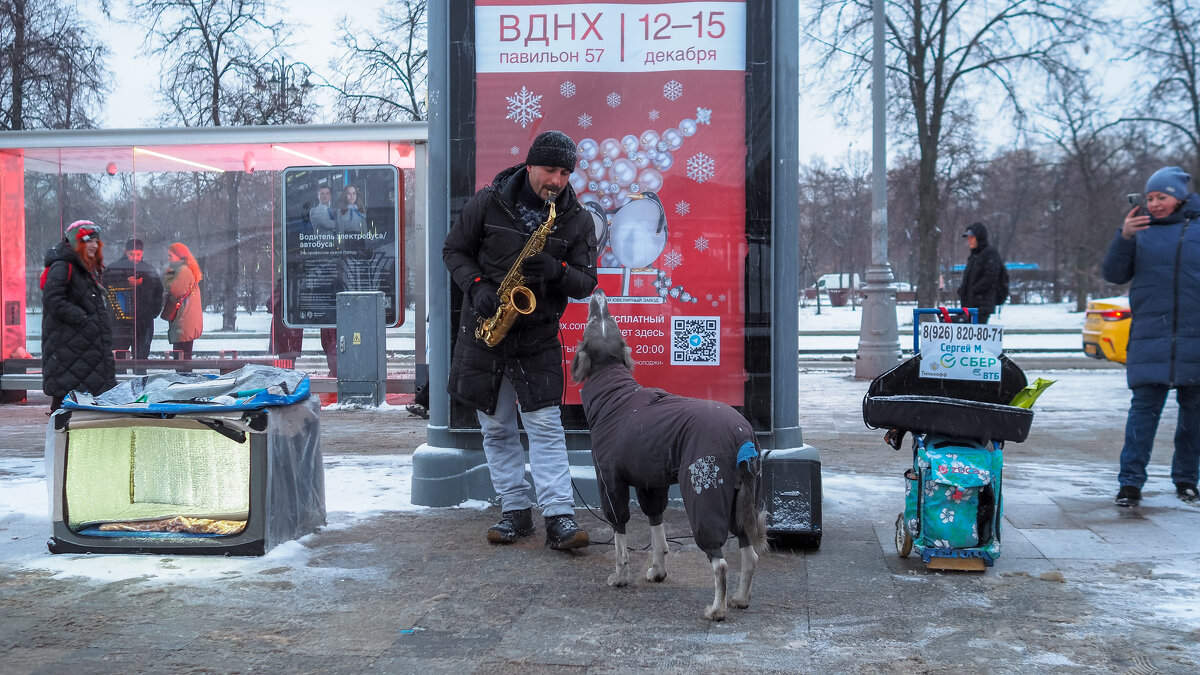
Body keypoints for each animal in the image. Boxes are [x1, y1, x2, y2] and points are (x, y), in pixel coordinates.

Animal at [568, 285, 758, 619]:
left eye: (595, 319)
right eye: (605, 319)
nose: (600, 293)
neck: (614, 395)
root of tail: (742, 433)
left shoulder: (610, 481)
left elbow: (619, 535)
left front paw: (620, 577)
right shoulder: (649, 481)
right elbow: (657, 529)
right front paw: (657, 570)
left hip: (704, 492)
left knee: (720, 563)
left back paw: (717, 609)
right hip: (739, 498)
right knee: (750, 555)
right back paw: (740, 598)